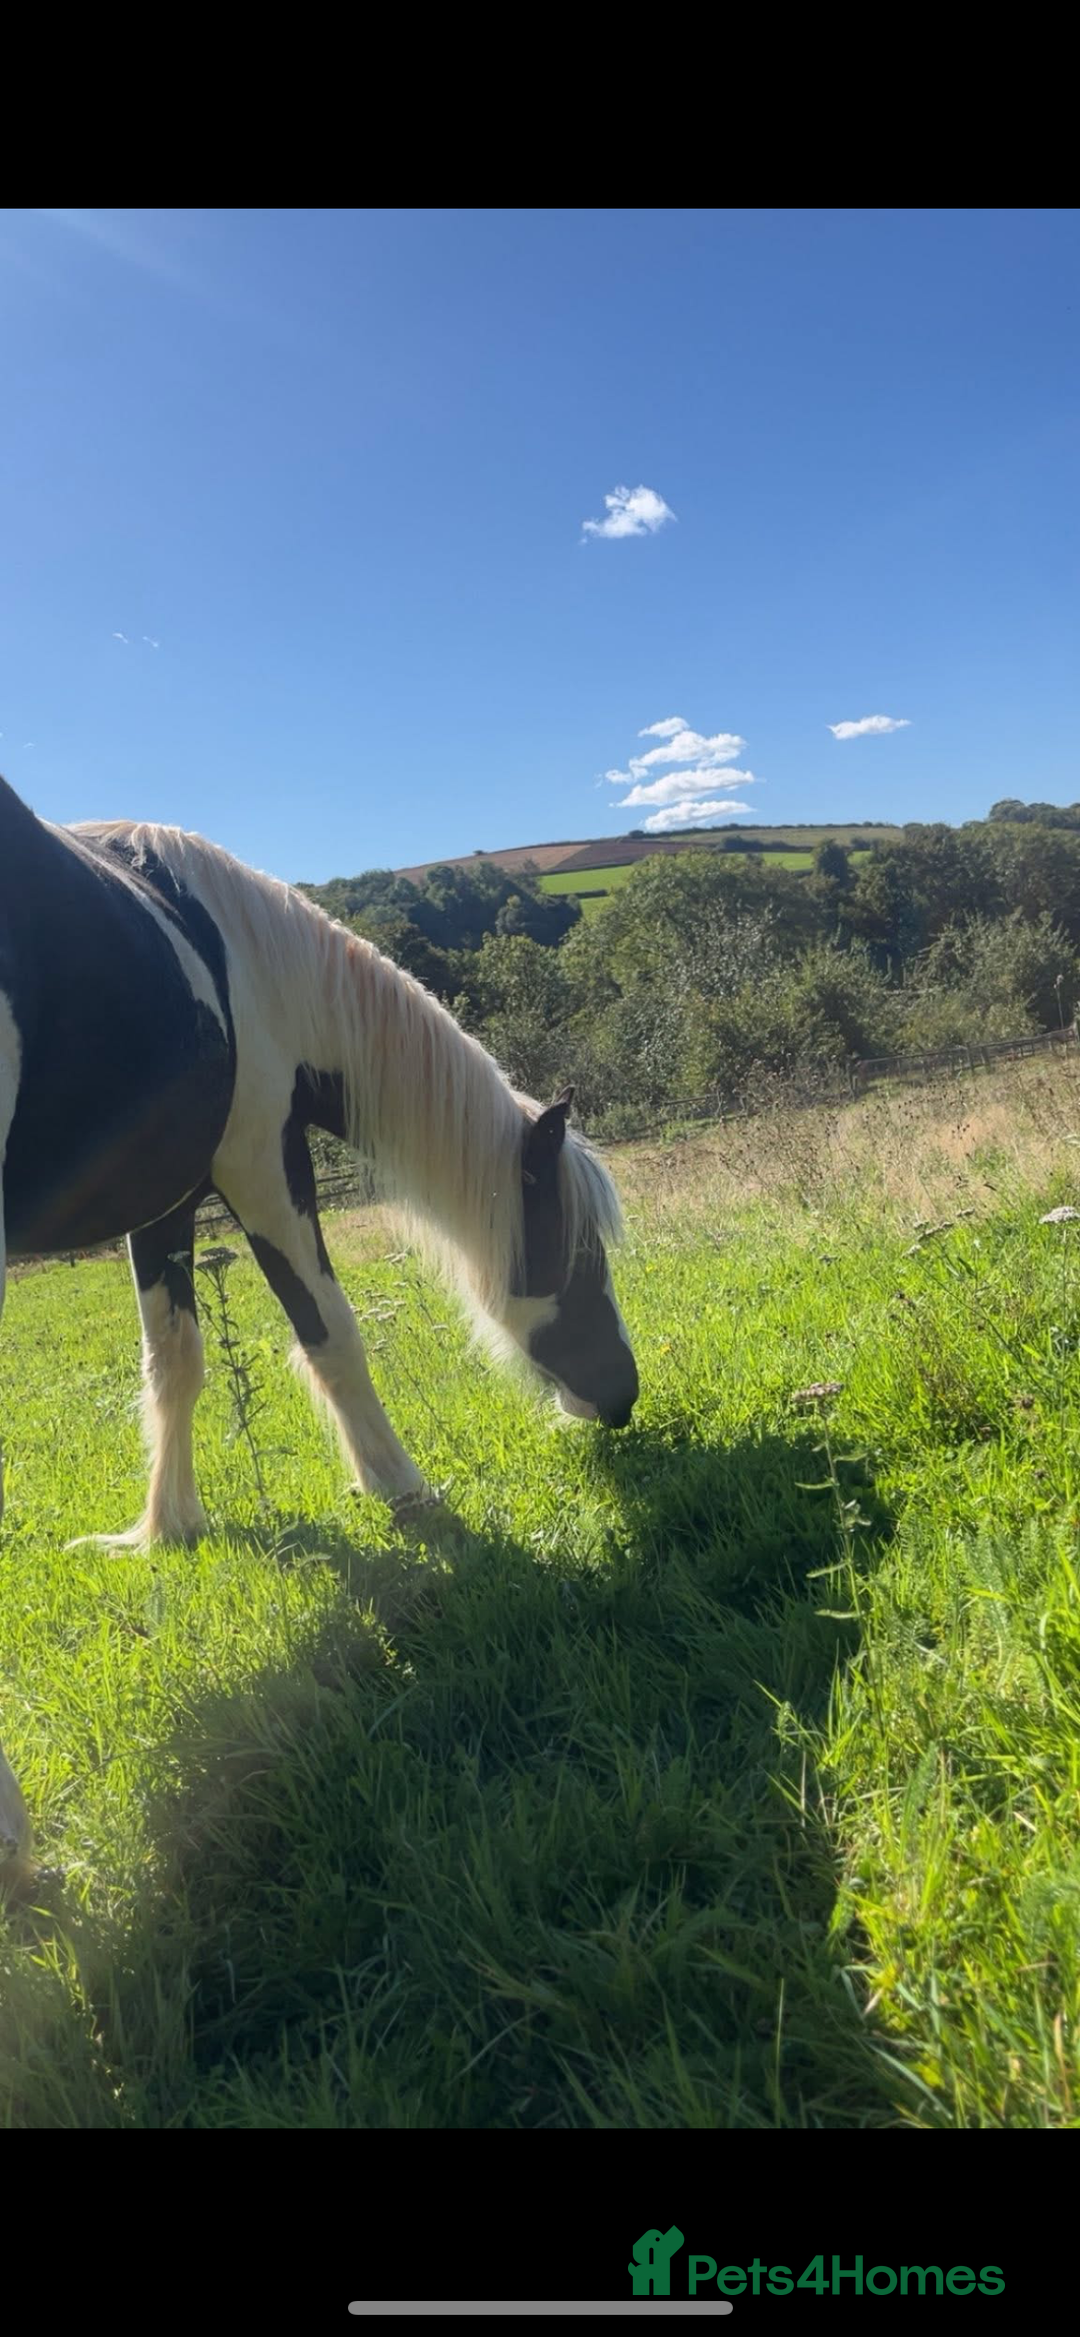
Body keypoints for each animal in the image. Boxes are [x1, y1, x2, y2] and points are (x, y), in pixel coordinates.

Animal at [0, 772, 638, 1867]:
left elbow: (173, 1359)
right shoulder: (261, 1161)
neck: (235, 959)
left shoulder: (165, 1198)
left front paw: (167, 1529)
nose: (625, 1398)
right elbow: (331, 1336)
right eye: (577, 1252)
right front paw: (402, 1489)